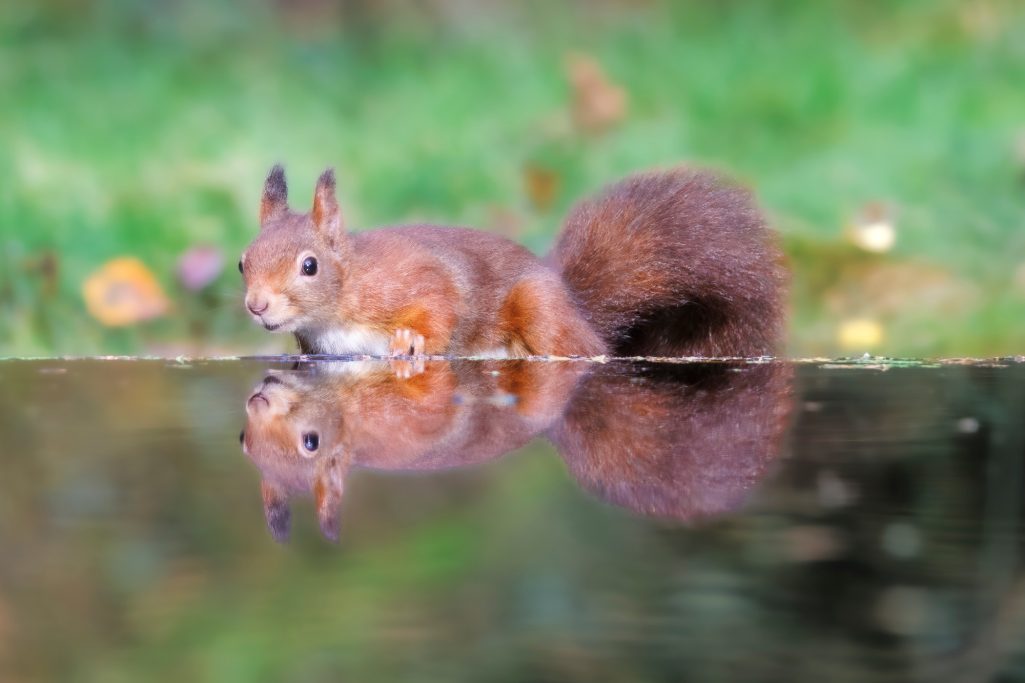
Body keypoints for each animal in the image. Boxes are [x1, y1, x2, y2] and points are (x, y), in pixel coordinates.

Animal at [239, 164, 783, 356]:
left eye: (309, 266)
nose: (256, 306)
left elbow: (440, 301)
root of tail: (578, 311)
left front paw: (412, 340)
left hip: (541, 312)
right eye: (243, 263)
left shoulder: (414, 278)